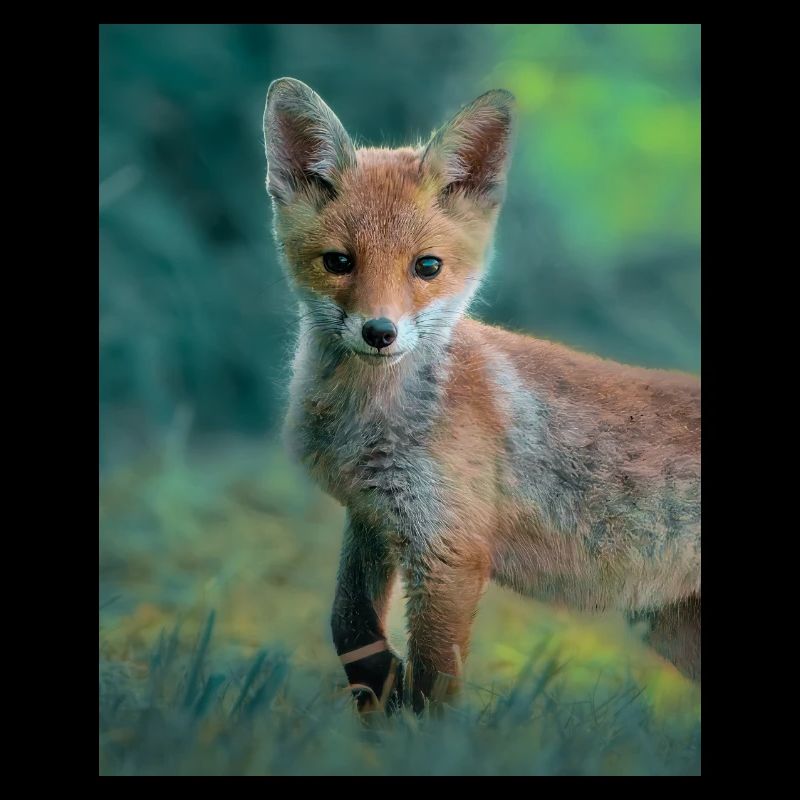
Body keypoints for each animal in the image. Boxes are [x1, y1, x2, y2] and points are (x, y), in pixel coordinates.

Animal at [262, 77, 700, 714]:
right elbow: (350, 626)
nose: (379, 332)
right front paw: (379, 691)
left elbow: (434, 684)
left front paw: (418, 729)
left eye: (427, 266)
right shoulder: (374, 515)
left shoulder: (450, 550)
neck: (369, 424)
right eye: (338, 262)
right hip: (674, 631)